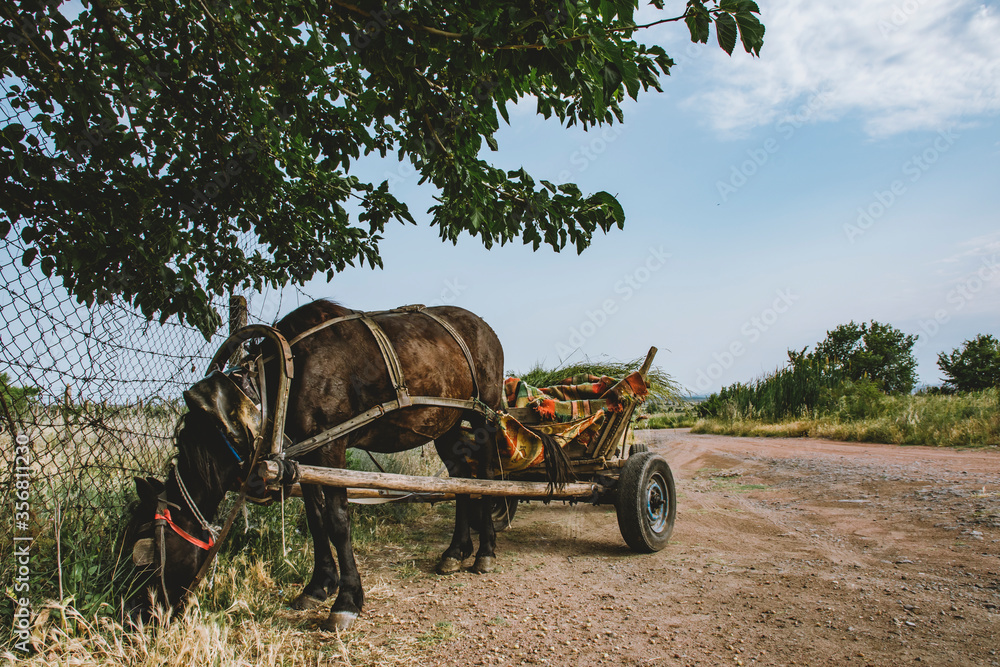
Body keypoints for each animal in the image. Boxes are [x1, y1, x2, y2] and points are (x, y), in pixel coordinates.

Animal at [124, 299, 507, 631]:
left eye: (147, 552)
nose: (137, 619)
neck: (285, 371)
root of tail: (486, 328)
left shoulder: (331, 448)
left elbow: (338, 522)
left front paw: (347, 601)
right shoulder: (306, 454)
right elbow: (315, 519)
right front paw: (318, 586)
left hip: (483, 415)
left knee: (487, 477)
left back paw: (485, 552)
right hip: (447, 423)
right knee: (460, 479)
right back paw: (456, 551)